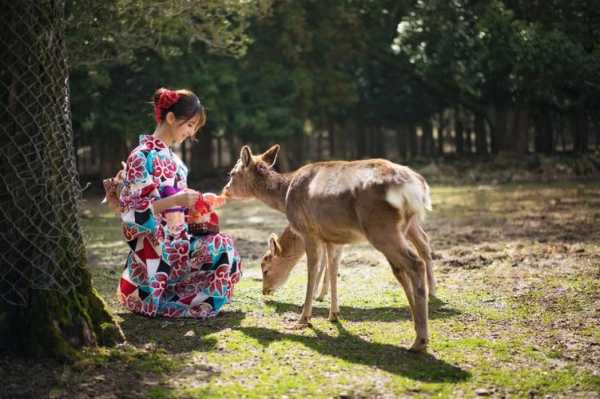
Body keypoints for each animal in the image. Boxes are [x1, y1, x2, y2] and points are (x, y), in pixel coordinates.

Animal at [223, 146, 434, 354]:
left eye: (232, 173)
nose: (225, 190)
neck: (285, 197)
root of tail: (415, 187)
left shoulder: (309, 232)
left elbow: (312, 270)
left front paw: (302, 319)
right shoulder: (332, 237)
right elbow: (333, 270)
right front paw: (333, 314)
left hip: (381, 228)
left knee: (415, 263)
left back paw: (420, 340)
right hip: (400, 227)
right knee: (405, 265)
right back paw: (418, 327)